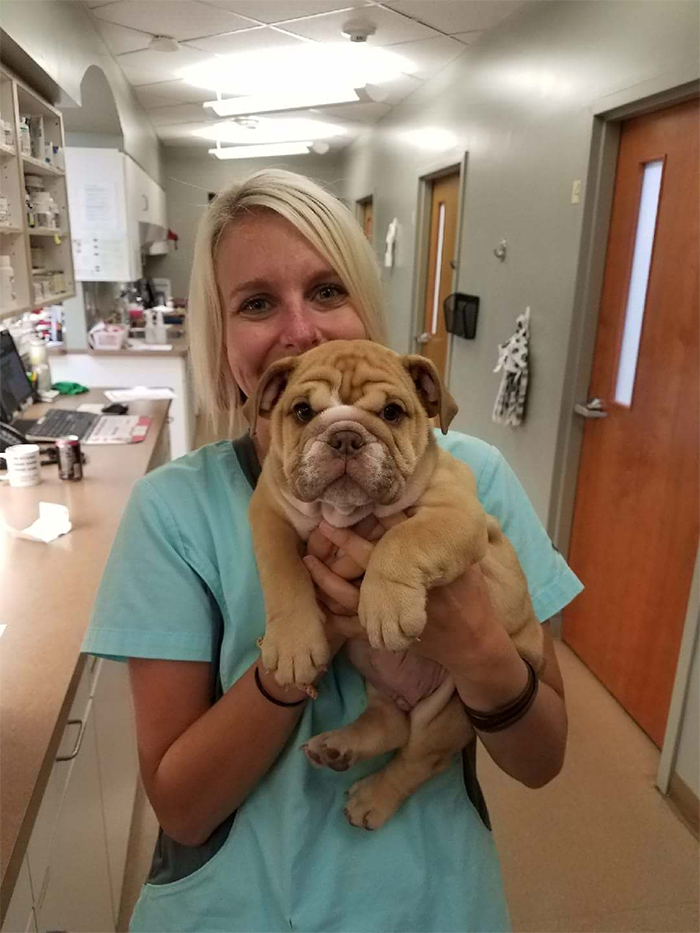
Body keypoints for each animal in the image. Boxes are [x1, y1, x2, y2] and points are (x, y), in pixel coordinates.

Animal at [249, 338, 544, 828]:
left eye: (392, 413)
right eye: (303, 411)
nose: (345, 436)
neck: (348, 513)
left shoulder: (456, 513)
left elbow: (403, 539)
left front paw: (384, 606)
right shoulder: (269, 510)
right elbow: (282, 574)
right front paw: (292, 646)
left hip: (454, 706)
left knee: (418, 759)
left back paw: (373, 797)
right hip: (377, 678)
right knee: (389, 724)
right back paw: (338, 747)